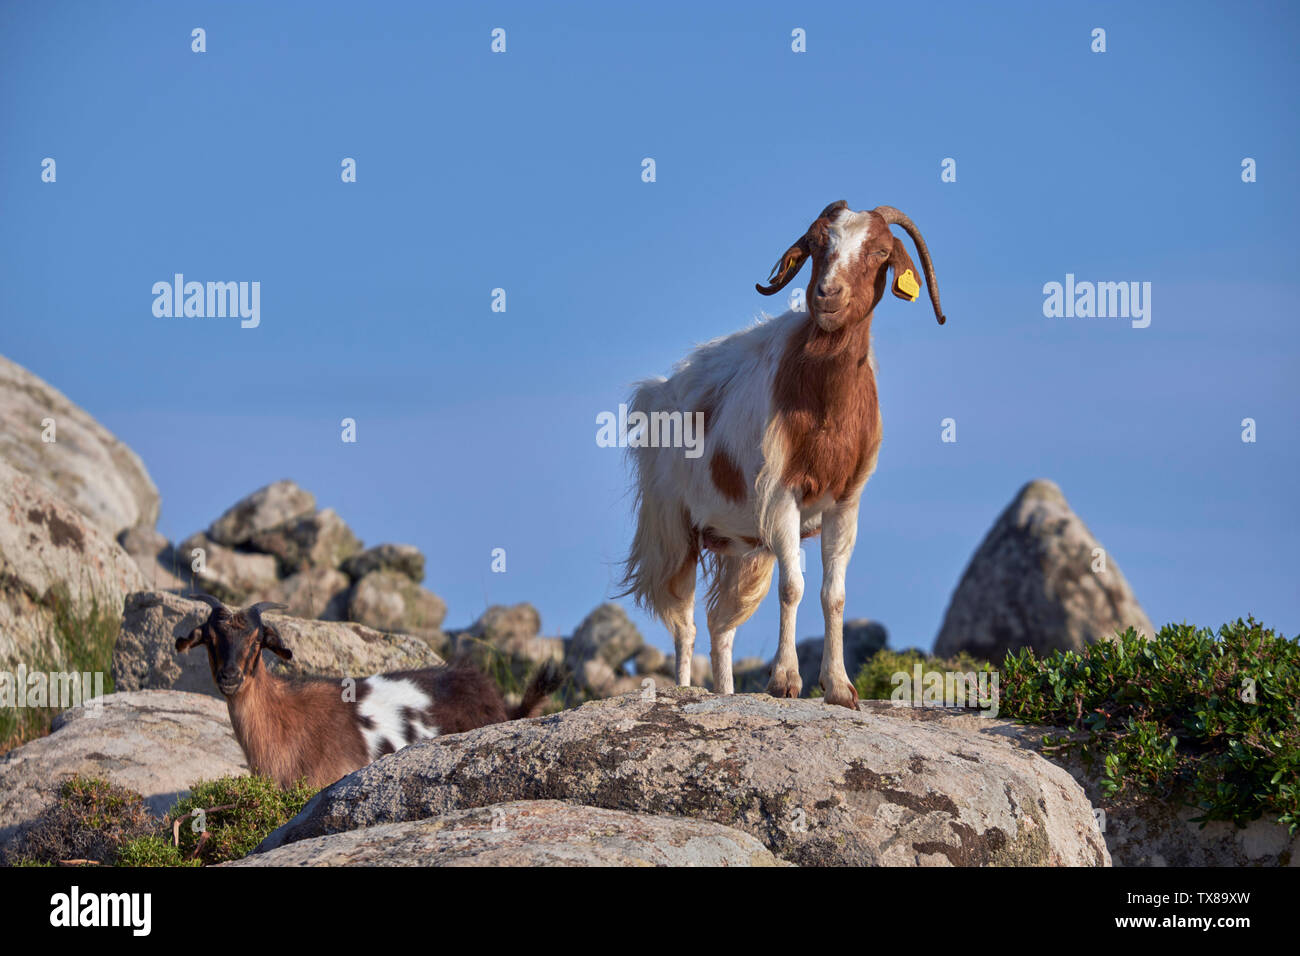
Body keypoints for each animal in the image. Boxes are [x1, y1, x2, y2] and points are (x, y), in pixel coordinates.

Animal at [620, 200, 946, 709]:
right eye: (815, 243)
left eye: (879, 251)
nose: (827, 295)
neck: (821, 399)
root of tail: (655, 393)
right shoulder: (780, 496)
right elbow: (793, 587)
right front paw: (785, 682)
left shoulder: (844, 504)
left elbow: (834, 593)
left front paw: (839, 688)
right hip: (673, 528)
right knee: (685, 621)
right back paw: (685, 691)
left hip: (739, 545)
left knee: (721, 626)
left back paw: (726, 693)